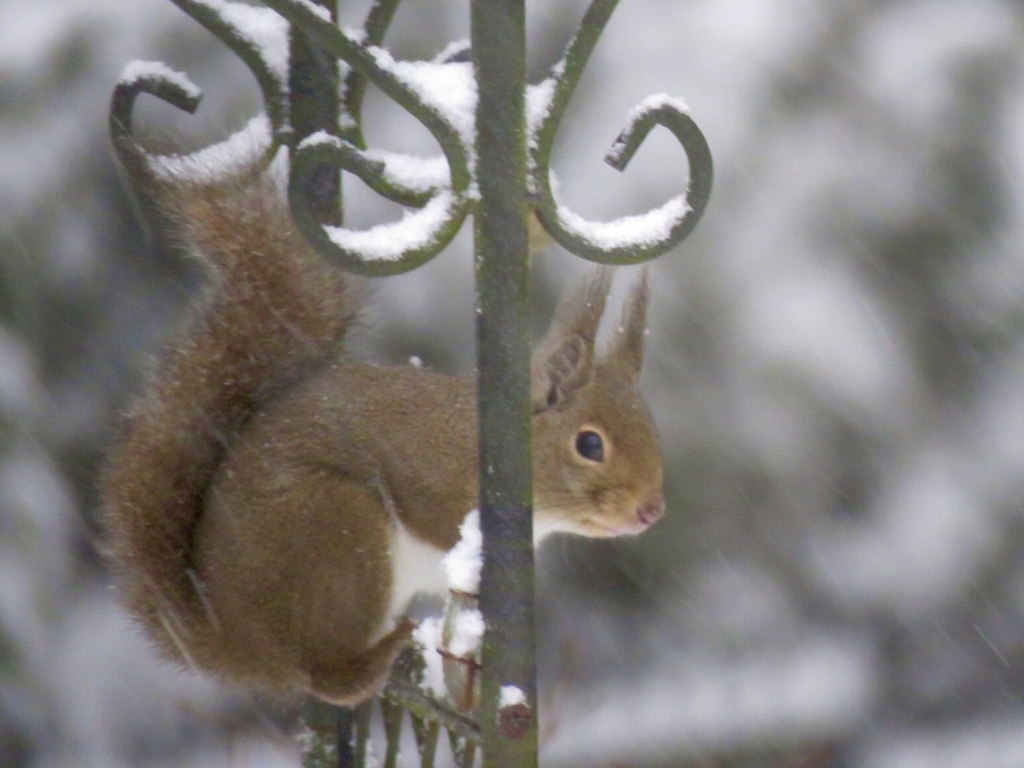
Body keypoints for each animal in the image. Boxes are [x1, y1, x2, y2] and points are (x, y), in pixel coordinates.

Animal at [99, 165, 667, 708]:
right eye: (589, 444)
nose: (651, 511)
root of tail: (232, 642)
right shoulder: (431, 472)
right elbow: (437, 522)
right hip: (338, 531)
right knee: (329, 678)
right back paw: (387, 650)